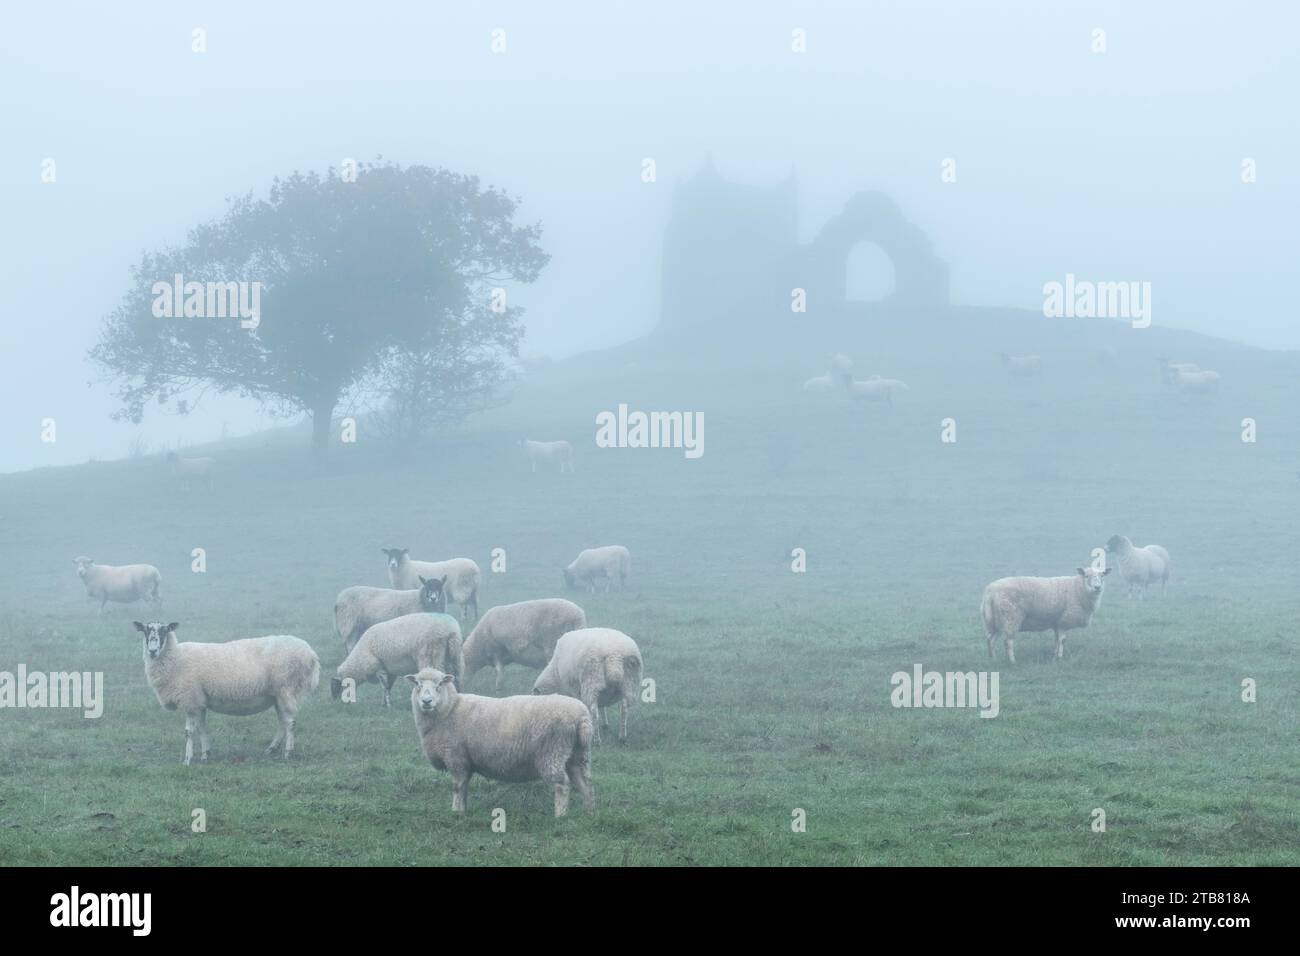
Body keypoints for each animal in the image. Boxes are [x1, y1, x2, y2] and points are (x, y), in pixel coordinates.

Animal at [134, 621, 322, 770]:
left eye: (164, 630)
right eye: (145, 630)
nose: (152, 650)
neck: (175, 658)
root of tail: (312, 654)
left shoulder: (190, 700)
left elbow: (188, 732)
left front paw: (187, 760)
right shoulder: (200, 701)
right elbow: (202, 728)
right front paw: (205, 754)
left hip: (286, 688)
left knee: (290, 722)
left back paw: (288, 753)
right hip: (278, 694)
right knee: (283, 721)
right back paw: (272, 749)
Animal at [332, 608, 465, 707]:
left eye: (338, 686)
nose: (337, 702)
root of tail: (450, 630)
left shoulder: (379, 668)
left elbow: (385, 687)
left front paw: (388, 705)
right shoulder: (389, 670)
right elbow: (388, 687)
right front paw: (385, 703)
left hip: (431, 656)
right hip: (454, 656)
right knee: (456, 677)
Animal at [405, 671, 595, 816]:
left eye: (439, 685)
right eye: (418, 685)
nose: (426, 702)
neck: (449, 709)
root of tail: (582, 717)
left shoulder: (455, 757)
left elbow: (457, 787)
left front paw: (456, 812)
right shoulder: (465, 762)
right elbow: (464, 787)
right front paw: (463, 810)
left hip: (552, 752)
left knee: (562, 785)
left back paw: (560, 815)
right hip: (577, 754)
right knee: (584, 781)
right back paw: (589, 811)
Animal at [977, 567, 1112, 665]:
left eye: (1102, 576)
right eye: (1086, 576)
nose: (1097, 587)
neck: (1077, 588)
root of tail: (990, 593)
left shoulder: (1057, 622)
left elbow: (1057, 640)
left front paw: (1054, 655)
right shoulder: (1064, 621)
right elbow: (1063, 640)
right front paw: (1060, 657)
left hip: (994, 621)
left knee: (990, 639)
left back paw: (992, 658)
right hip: (1010, 618)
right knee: (1008, 642)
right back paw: (1012, 661)